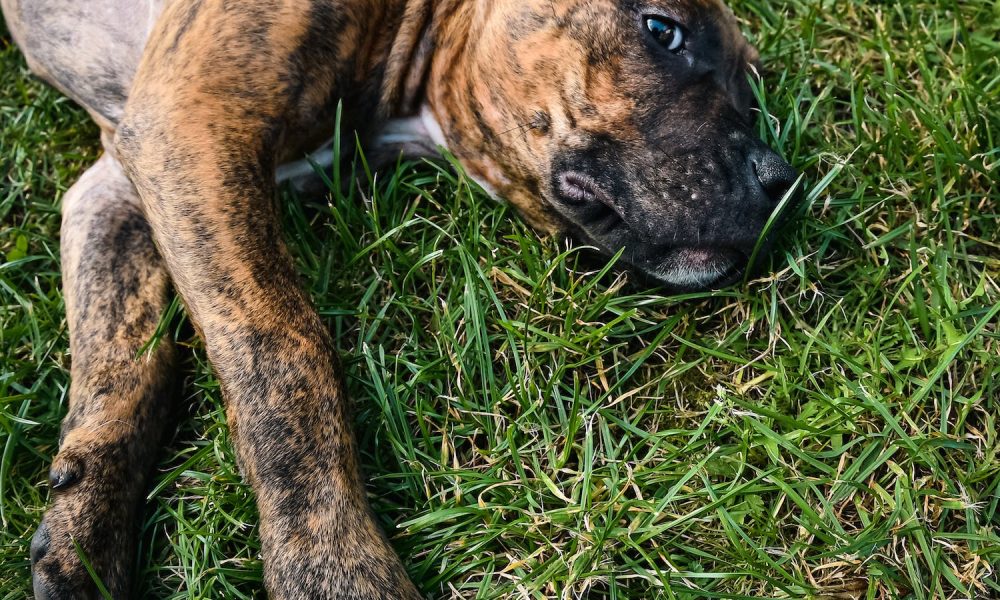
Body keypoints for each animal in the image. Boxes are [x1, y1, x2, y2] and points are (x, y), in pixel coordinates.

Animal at [0, 0, 796, 596]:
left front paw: (80, 535)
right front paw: (333, 570)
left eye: (751, 85)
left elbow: (128, 366)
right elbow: (281, 351)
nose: (780, 184)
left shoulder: (119, 187)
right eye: (661, 29)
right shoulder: (191, 124)